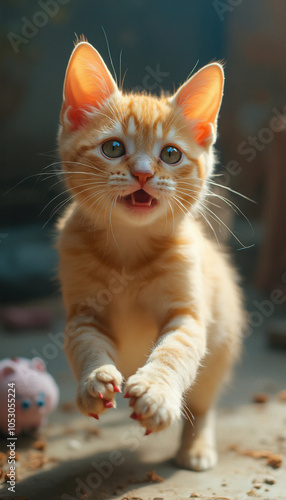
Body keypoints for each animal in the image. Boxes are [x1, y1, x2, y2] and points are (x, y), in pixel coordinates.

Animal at [57, 40, 245, 472]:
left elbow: (175, 352)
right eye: (113, 148)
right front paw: (93, 378)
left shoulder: (189, 316)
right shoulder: (81, 314)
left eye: (171, 154)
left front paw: (157, 393)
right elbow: (84, 342)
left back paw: (195, 446)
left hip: (220, 348)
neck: (129, 250)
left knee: (202, 403)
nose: (143, 173)